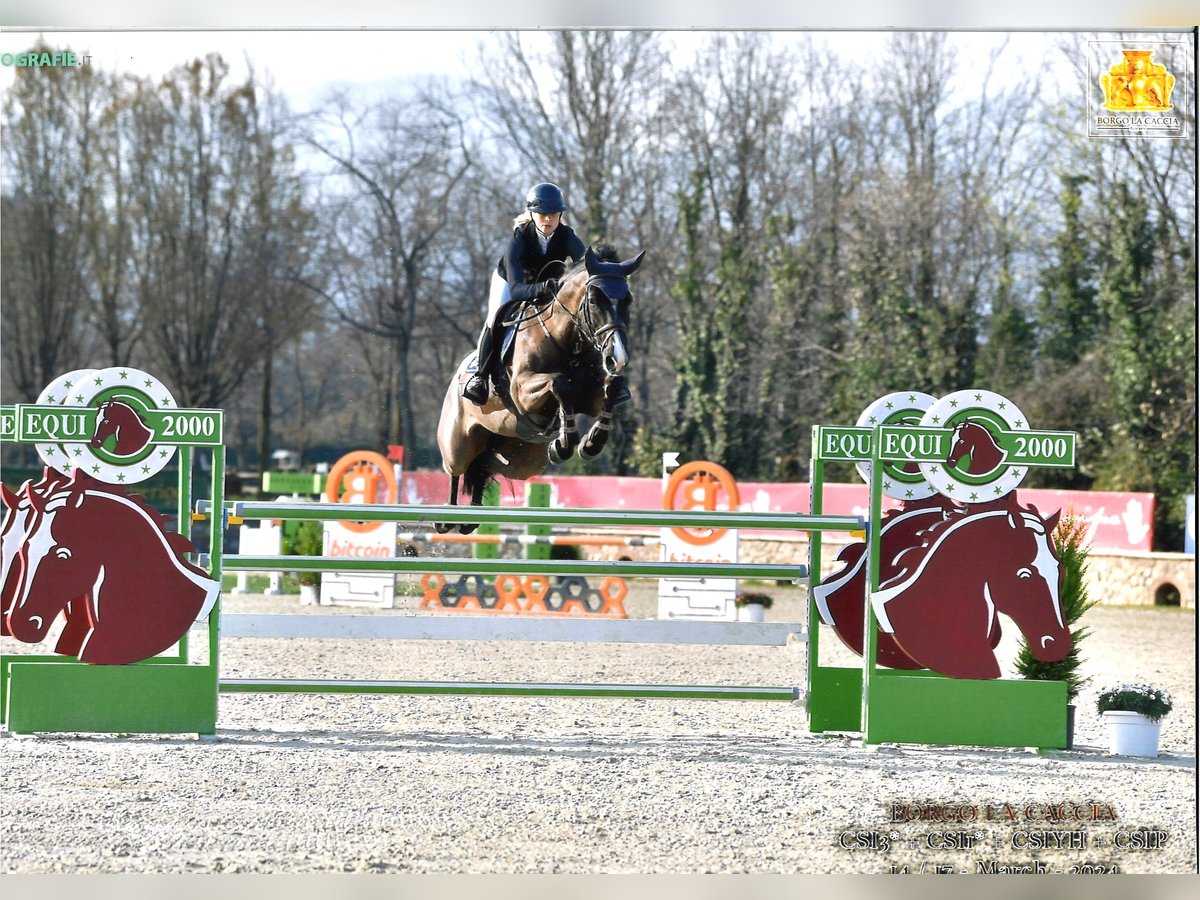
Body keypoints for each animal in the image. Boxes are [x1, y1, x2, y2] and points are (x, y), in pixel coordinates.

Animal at [439, 244, 648, 535]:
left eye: (628, 300)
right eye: (594, 300)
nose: (617, 358)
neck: (568, 342)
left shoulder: (590, 397)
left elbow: (611, 389)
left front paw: (590, 443)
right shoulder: (523, 391)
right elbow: (559, 383)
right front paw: (565, 442)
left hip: (520, 459)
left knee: (481, 468)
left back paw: (471, 517)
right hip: (459, 439)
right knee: (456, 468)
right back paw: (446, 517)